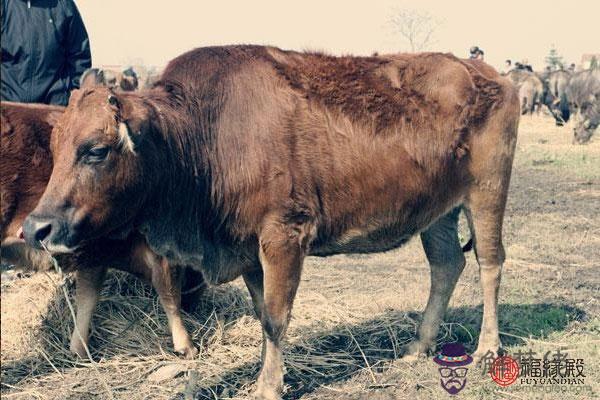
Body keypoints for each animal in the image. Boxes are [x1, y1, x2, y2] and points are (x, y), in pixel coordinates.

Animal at [22, 45, 520, 398]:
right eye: (56, 143)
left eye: (96, 150)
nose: (36, 228)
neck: (200, 135)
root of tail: (490, 76)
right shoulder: (247, 251)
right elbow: (264, 313)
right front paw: (269, 377)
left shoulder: (284, 237)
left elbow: (277, 317)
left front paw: (266, 387)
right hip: (439, 212)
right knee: (446, 265)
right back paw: (418, 346)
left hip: (486, 193)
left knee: (490, 262)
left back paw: (487, 348)